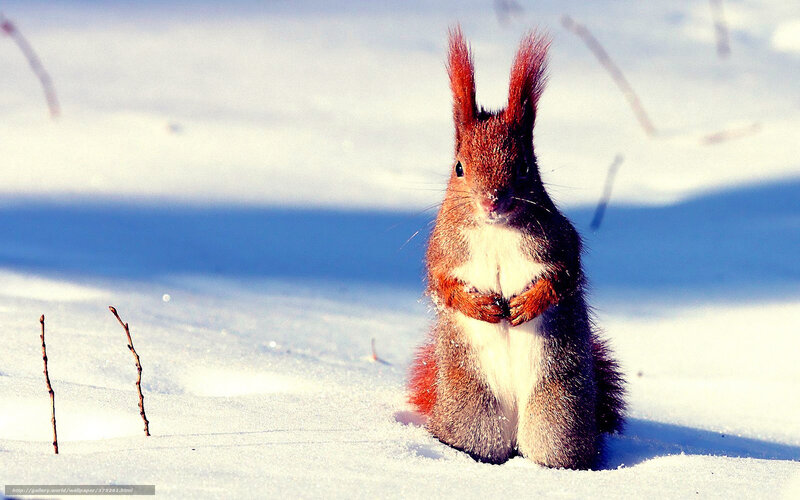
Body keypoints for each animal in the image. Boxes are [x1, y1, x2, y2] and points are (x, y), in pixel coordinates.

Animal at [408, 27, 625, 469]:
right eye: (459, 167)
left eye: (525, 166)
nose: (492, 200)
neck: (495, 230)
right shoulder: (442, 251)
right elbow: (442, 284)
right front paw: (482, 307)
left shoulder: (560, 242)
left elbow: (564, 276)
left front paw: (528, 304)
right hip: (473, 411)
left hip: (557, 412)